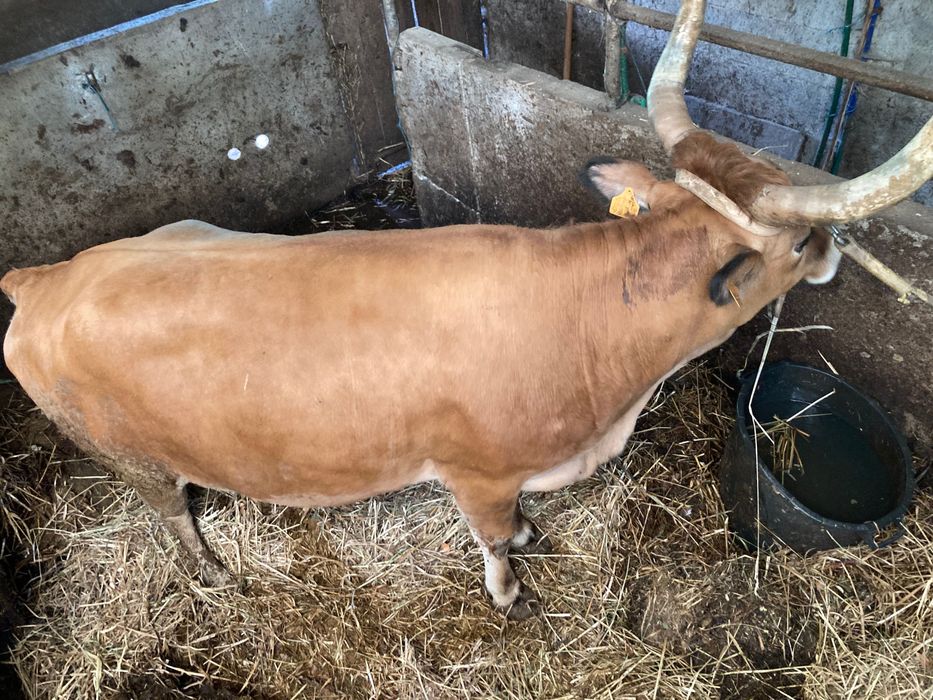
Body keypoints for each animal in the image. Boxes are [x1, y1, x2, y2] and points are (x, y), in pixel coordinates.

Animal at [2, 0, 929, 619]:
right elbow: (491, 538)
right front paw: (509, 586)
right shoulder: (475, 476)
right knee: (176, 521)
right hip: (135, 462)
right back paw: (214, 574)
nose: (836, 252)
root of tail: (43, 279)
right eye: (798, 242)